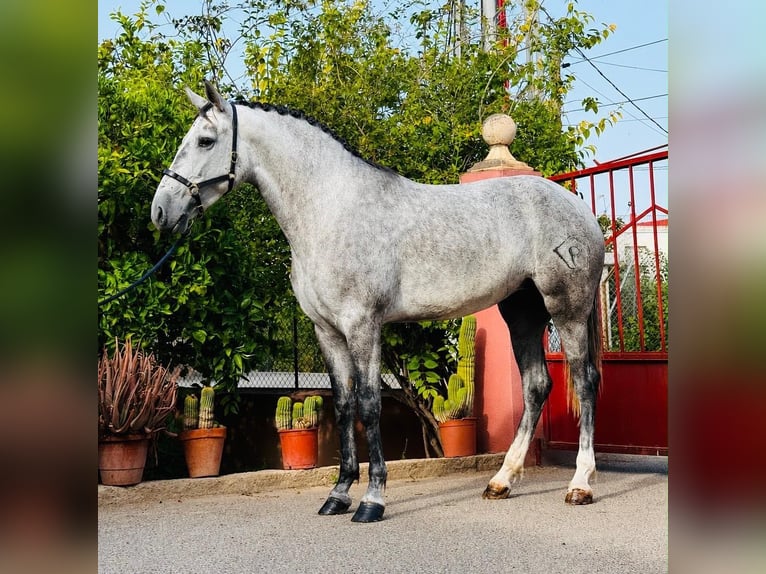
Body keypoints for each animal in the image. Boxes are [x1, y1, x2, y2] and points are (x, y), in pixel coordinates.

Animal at [152, 81, 605, 523]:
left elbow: (369, 406)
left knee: (584, 382)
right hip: (522, 313)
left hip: (567, 309)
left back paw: (580, 485)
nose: (160, 211)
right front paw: (337, 496)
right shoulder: (327, 332)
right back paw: (501, 481)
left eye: (206, 140)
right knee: (536, 385)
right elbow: (344, 406)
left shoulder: (363, 325)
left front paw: (372, 500)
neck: (332, 210)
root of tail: (577, 207)